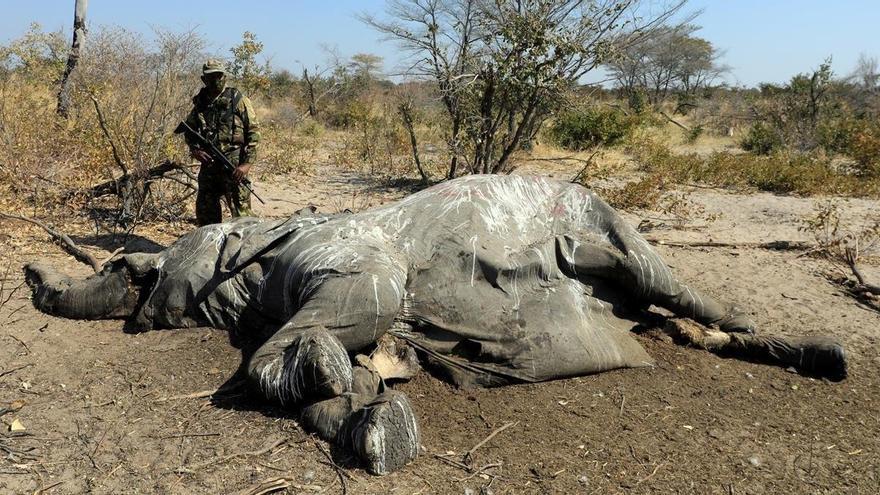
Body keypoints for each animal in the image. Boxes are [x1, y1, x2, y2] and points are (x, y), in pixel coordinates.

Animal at [22, 175, 844, 476]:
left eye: (137, 270)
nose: (31, 275)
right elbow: (362, 368)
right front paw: (367, 418)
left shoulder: (351, 259)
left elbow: (339, 324)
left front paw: (329, 380)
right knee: (674, 321)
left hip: (611, 226)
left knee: (678, 290)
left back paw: (822, 357)